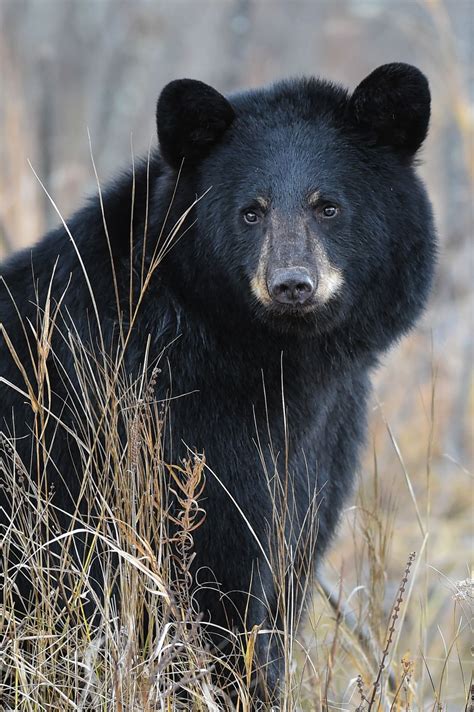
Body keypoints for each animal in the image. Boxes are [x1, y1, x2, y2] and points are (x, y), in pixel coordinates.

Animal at [0, 64, 436, 704]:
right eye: (251, 211)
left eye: (328, 207)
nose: (292, 285)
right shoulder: (154, 431)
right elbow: (209, 582)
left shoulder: (322, 449)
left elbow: (283, 576)